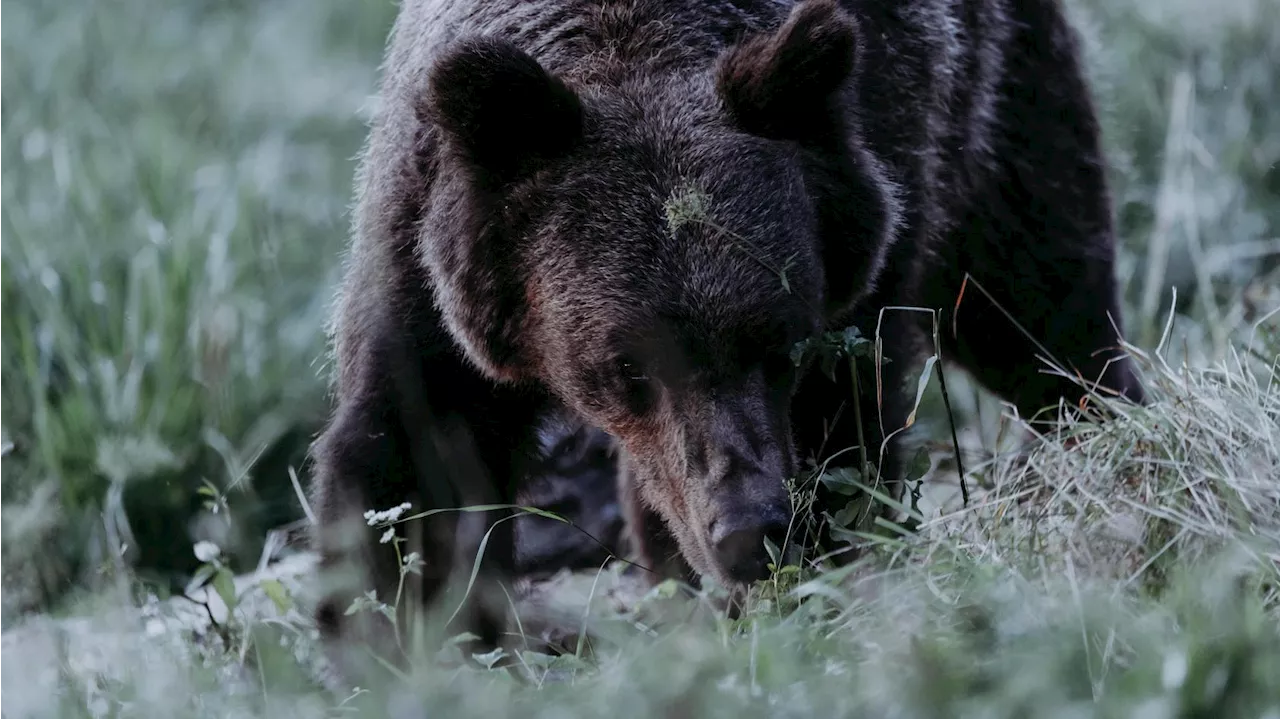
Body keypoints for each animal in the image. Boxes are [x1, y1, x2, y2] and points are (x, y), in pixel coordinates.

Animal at [307, 0, 1141, 670]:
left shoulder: (877, 210)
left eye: (778, 341)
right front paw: (403, 642)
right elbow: (411, 467)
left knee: (1040, 296)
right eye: (625, 364)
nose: (749, 529)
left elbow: (845, 436)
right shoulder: (431, 271)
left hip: (995, 106)